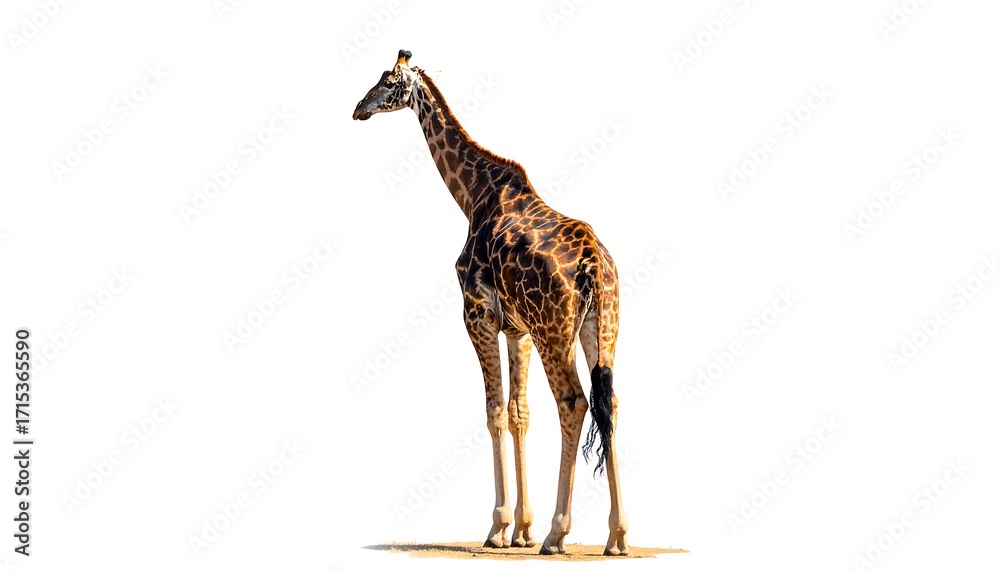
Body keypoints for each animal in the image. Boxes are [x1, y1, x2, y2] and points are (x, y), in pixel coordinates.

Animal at [353, 50, 629, 556]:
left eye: (386, 81)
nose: (358, 108)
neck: (471, 195)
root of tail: (593, 265)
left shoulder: (476, 315)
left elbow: (494, 412)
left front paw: (500, 528)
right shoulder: (517, 330)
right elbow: (520, 414)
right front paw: (521, 529)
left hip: (554, 333)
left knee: (573, 403)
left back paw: (559, 534)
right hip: (600, 328)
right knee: (609, 403)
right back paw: (616, 536)